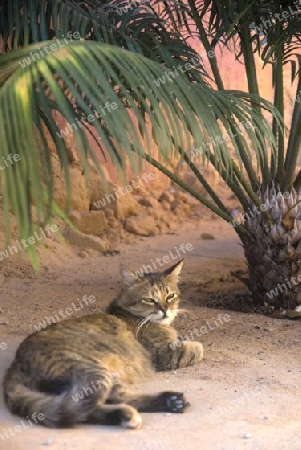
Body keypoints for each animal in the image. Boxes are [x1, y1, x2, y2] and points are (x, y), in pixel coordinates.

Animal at [3, 258, 202, 428]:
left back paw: (169, 402)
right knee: (85, 408)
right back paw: (132, 414)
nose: (165, 310)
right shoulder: (166, 353)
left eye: (170, 296)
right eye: (148, 299)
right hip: (93, 372)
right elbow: (197, 349)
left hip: (110, 376)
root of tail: (16, 364)